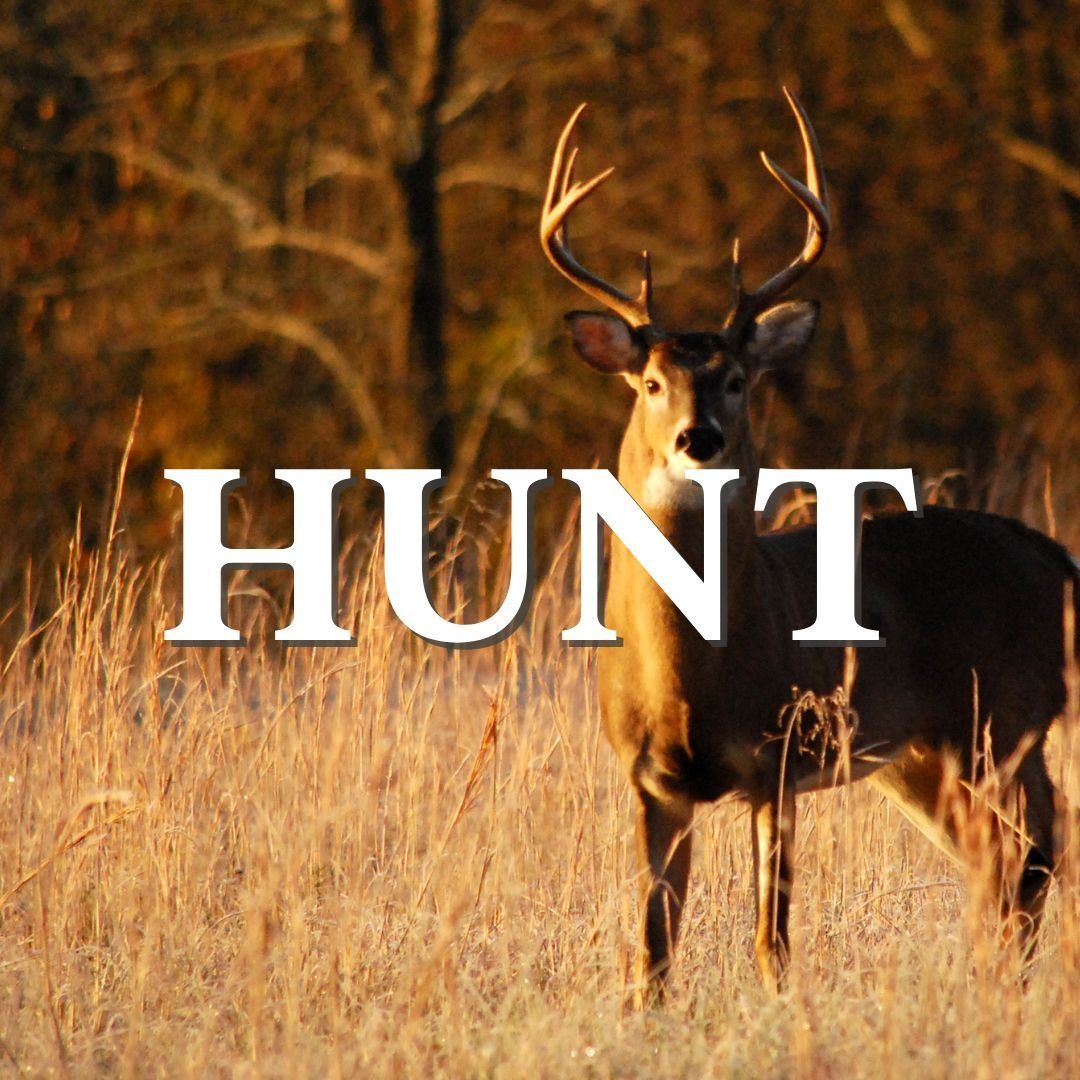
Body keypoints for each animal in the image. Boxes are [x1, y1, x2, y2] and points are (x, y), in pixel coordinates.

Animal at [540, 89, 1080, 1004]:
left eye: (735, 379)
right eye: (650, 382)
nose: (698, 438)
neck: (694, 679)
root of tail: (1055, 556)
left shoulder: (778, 756)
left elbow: (771, 941)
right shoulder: (650, 780)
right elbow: (654, 952)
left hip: (1007, 717)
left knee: (1037, 852)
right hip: (923, 755)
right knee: (1000, 859)